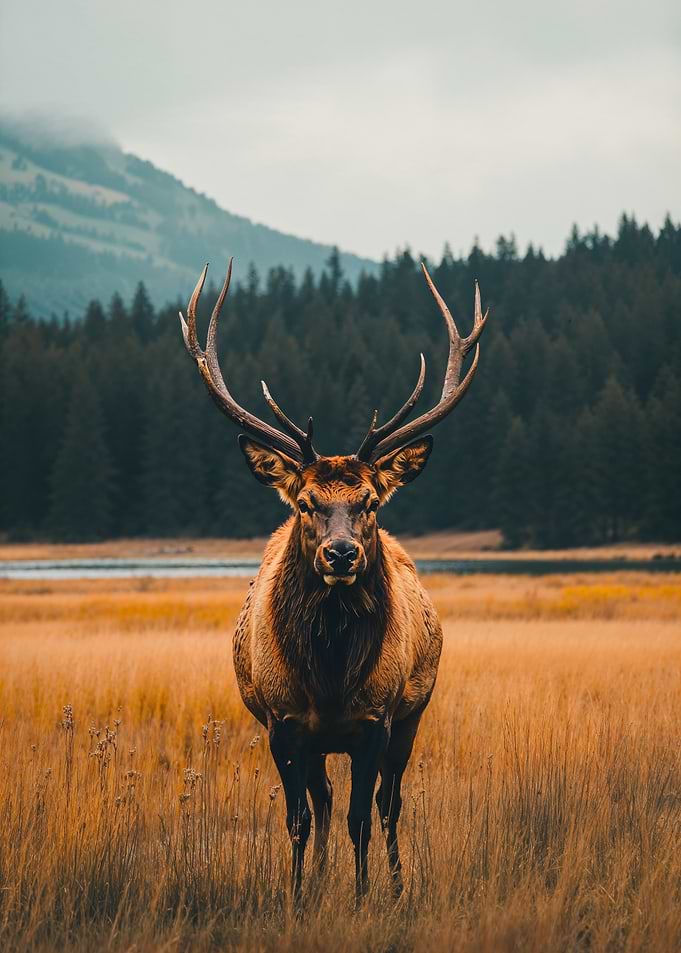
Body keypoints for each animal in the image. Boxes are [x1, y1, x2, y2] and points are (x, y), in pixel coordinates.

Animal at [179, 259, 488, 905]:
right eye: (305, 502)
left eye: (369, 500)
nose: (341, 553)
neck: (328, 678)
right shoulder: (283, 724)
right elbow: (298, 818)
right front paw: (298, 895)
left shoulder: (376, 721)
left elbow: (362, 817)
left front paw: (366, 896)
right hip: (318, 741)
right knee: (321, 800)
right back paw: (320, 875)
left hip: (412, 716)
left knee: (391, 804)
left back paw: (395, 884)